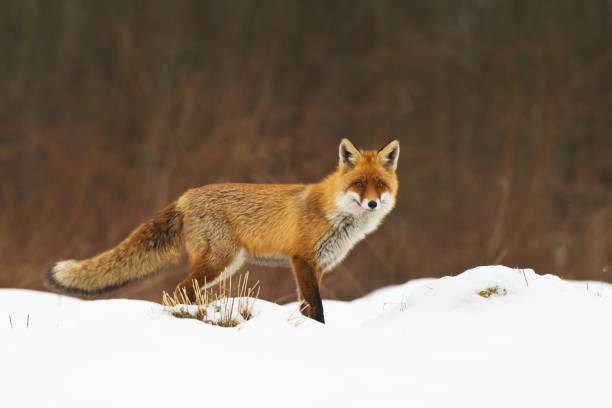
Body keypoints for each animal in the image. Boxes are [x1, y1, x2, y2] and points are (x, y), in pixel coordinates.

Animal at [49, 139, 402, 324]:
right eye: (359, 184)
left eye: (380, 185)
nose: (372, 203)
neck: (337, 215)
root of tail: (185, 196)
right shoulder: (302, 259)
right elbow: (316, 307)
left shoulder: (320, 266)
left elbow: (307, 307)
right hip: (220, 260)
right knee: (179, 291)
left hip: (226, 265)